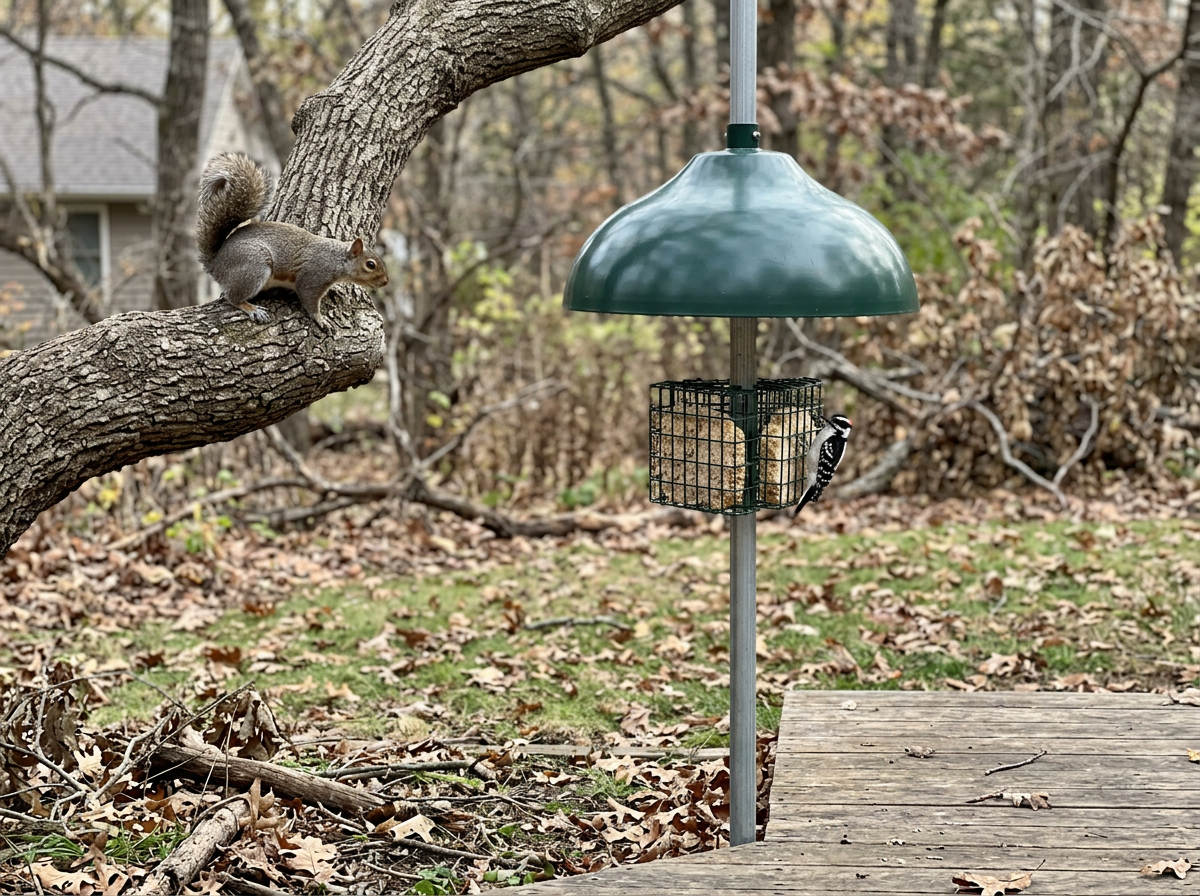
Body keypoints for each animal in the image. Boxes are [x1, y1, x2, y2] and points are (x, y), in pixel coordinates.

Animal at [196, 152, 389, 329]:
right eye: (370, 265)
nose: (386, 282)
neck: (336, 258)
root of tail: (215, 263)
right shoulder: (313, 276)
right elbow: (309, 299)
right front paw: (320, 319)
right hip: (254, 265)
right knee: (233, 298)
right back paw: (252, 308)